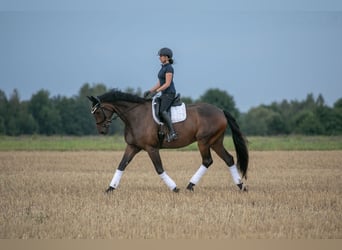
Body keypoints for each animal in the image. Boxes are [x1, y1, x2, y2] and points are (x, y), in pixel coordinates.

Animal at [87, 89, 248, 192]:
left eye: (97, 112)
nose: (102, 131)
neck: (135, 115)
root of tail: (220, 111)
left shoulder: (151, 148)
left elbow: (159, 168)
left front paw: (174, 188)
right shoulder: (132, 146)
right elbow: (121, 165)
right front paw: (110, 188)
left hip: (204, 141)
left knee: (207, 161)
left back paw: (190, 185)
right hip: (215, 142)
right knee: (228, 159)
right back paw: (240, 186)